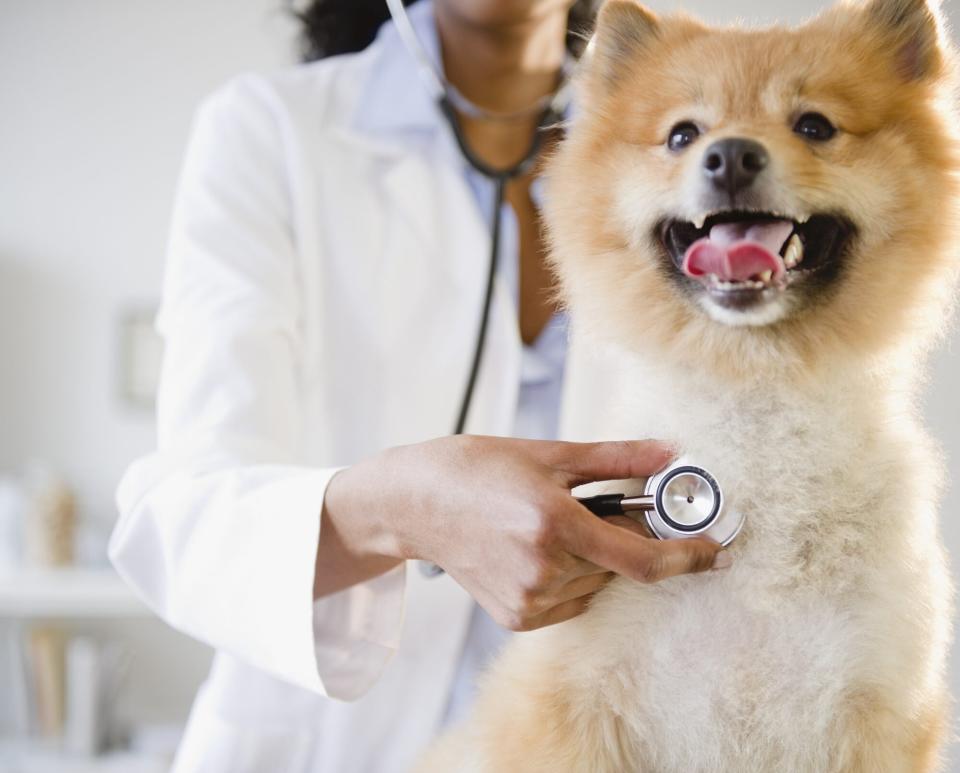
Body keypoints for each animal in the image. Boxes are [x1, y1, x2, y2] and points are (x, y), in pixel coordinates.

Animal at [418, 1, 960, 772]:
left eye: (815, 126)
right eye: (682, 134)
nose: (731, 155)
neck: (752, 397)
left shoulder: (874, 711)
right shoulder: (571, 710)